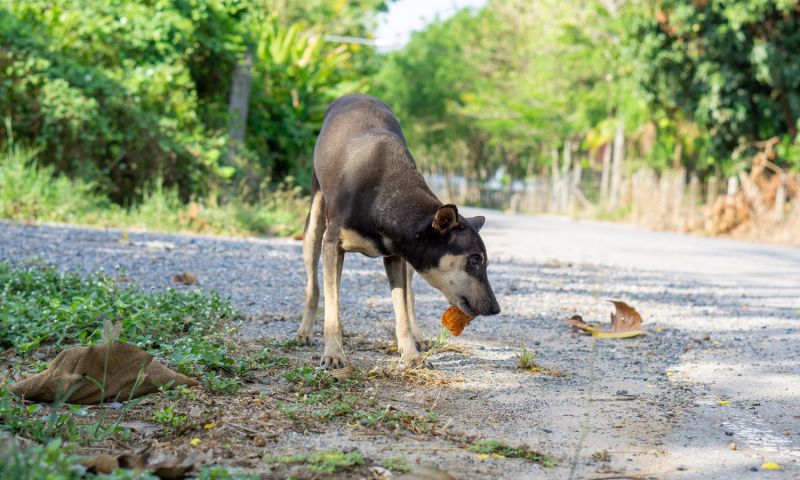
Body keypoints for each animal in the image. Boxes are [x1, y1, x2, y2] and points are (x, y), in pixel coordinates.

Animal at [298, 94, 500, 372]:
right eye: (474, 259)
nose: (495, 309)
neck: (384, 195)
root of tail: (354, 94)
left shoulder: (396, 255)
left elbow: (402, 309)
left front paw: (410, 354)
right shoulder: (333, 245)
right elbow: (332, 309)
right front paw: (333, 353)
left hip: (408, 262)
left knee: (410, 297)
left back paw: (418, 337)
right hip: (314, 223)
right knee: (313, 287)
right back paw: (305, 331)